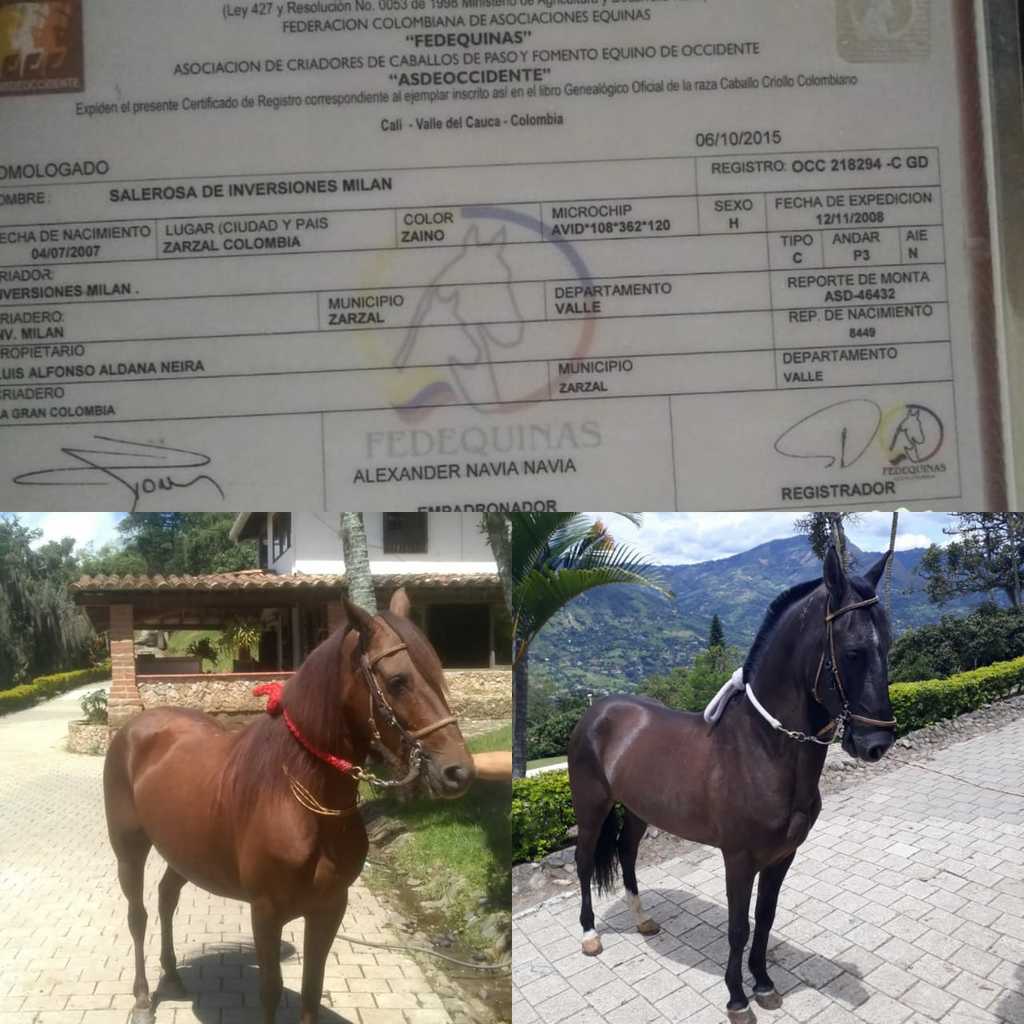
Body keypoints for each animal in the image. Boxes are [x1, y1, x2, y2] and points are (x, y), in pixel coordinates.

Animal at [103, 588, 475, 1024]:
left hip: (184, 851)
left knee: (166, 898)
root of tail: (133, 728)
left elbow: (312, 988)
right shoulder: (265, 912)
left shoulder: (329, 908)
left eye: (437, 673)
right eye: (398, 681)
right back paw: (144, 999)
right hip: (129, 849)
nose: (458, 772)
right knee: (138, 915)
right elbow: (270, 989)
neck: (302, 802)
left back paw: (174, 977)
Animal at [567, 547, 897, 1022]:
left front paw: (763, 983)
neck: (761, 748)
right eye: (852, 651)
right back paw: (590, 935)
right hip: (591, 808)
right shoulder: (739, 858)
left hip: (638, 811)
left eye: (887, 645)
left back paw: (643, 920)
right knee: (584, 861)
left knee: (627, 856)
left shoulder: (782, 856)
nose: (876, 744)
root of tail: (597, 711)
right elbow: (739, 926)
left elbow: (766, 917)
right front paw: (738, 997)